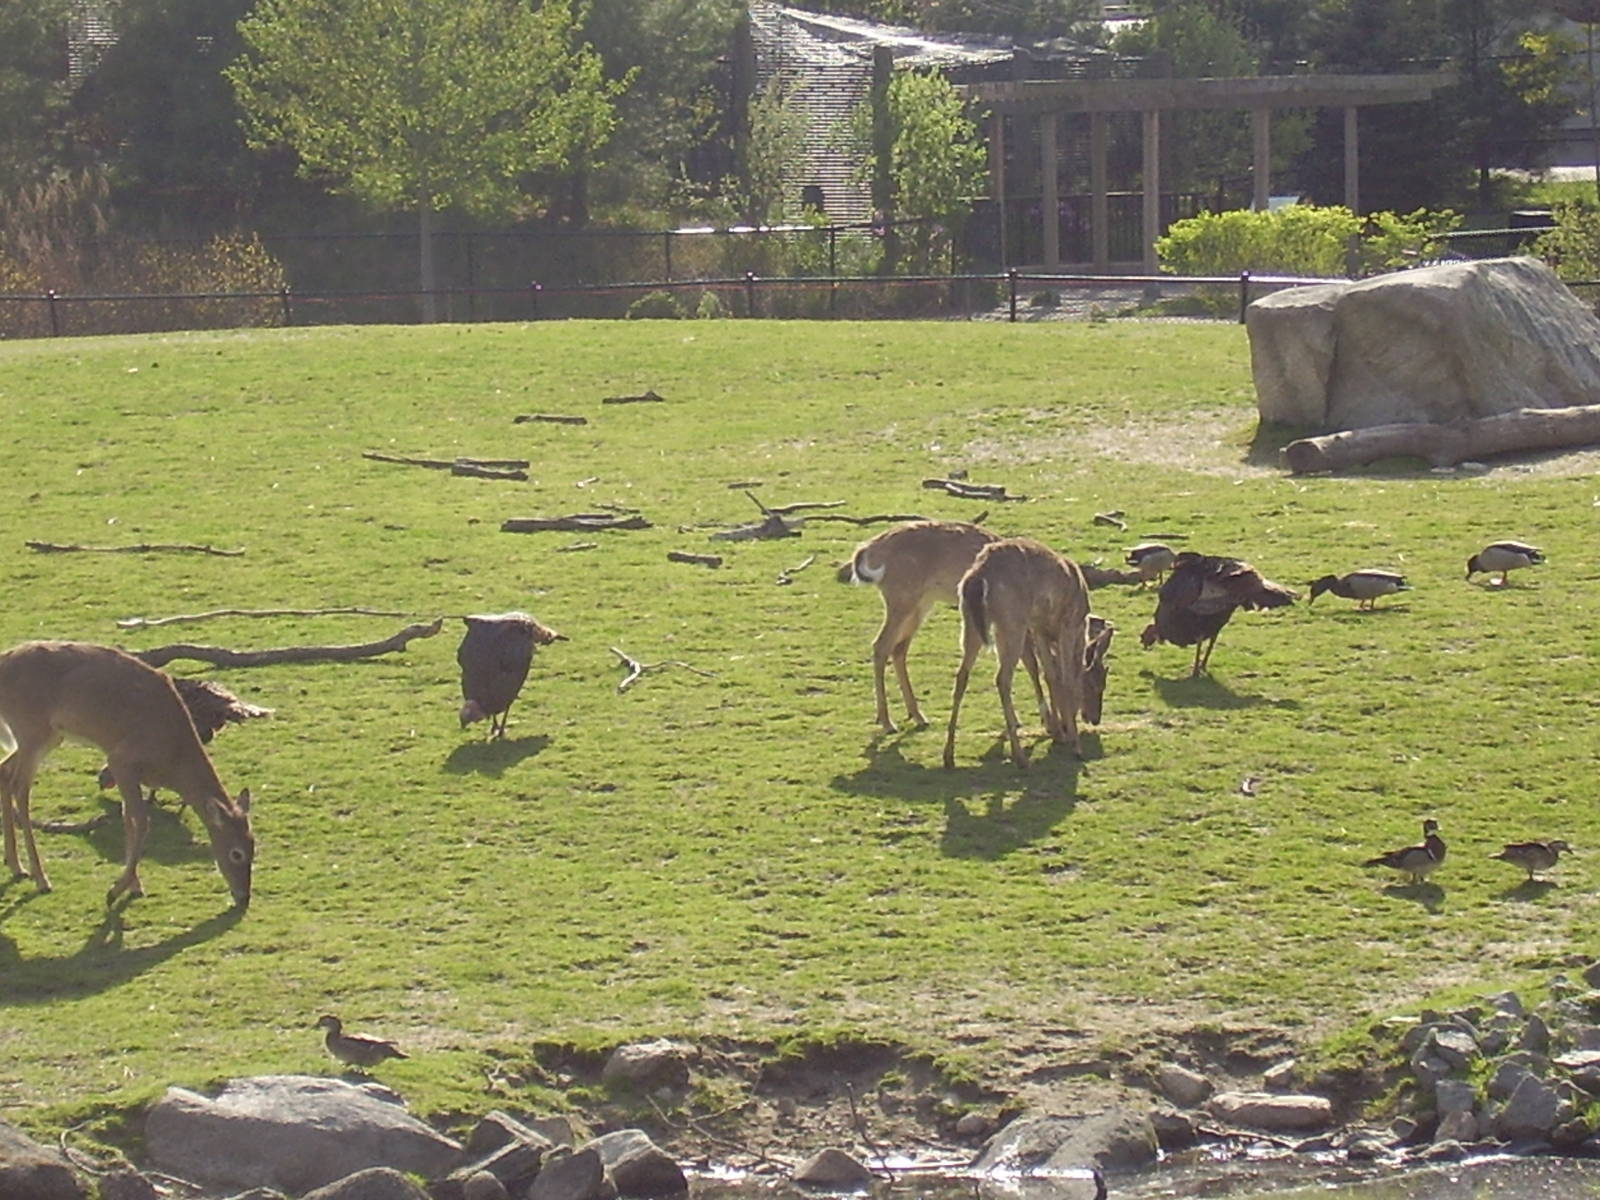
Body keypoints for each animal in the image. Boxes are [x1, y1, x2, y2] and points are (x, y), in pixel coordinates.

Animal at [0, 641, 254, 907]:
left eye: (254, 845)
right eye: (236, 854)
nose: (244, 896)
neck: (173, 757)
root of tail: (4, 661)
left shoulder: (129, 772)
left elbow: (128, 819)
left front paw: (134, 886)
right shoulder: (120, 761)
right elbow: (140, 822)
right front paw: (116, 891)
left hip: (50, 735)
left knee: (4, 771)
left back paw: (16, 866)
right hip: (31, 729)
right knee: (20, 788)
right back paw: (41, 879)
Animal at [942, 538, 1113, 769]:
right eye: (1097, 685)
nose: (1095, 719)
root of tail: (977, 577)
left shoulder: (1039, 628)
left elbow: (1050, 675)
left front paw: (1059, 732)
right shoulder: (1066, 625)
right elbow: (1066, 679)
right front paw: (1075, 744)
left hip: (971, 621)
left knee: (962, 676)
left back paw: (948, 756)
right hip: (1012, 621)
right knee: (1002, 679)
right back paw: (1020, 757)